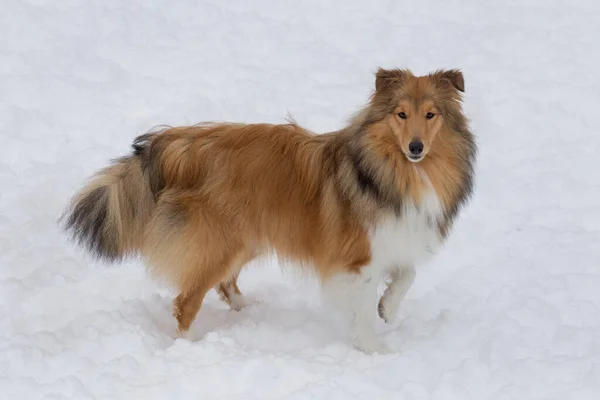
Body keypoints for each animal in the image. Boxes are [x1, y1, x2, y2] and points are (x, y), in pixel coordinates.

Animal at [62, 69, 474, 354]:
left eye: (431, 114)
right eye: (400, 114)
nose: (416, 147)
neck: (397, 171)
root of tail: (179, 144)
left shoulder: (396, 239)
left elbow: (408, 275)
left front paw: (387, 308)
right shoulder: (358, 259)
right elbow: (361, 306)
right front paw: (373, 349)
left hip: (246, 237)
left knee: (224, 284)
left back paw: (247, 308)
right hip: (220, 242)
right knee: (184, 302)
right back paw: (193, 346)